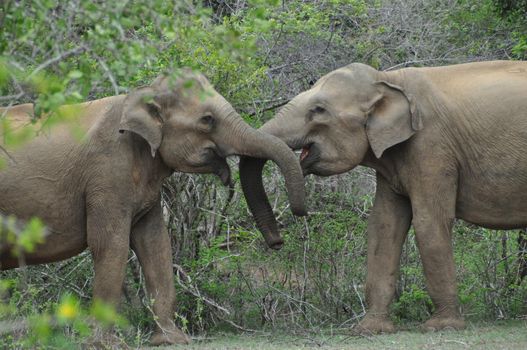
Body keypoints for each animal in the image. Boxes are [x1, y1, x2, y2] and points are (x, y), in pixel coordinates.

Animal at [0, 69, 308, 346]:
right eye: (207, 120)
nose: (278, 241)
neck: (142, 95)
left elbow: (155, 243)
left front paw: (172, 340)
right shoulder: (107, 174)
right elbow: (110, 245)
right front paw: (107, 345)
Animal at [241, 60, 527, 334]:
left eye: (318, 110)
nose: (277, 242)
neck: (387, 79)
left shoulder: (432, 147)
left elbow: (429, 222)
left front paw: (441, 326)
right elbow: (384, 225)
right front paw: (368, 330)